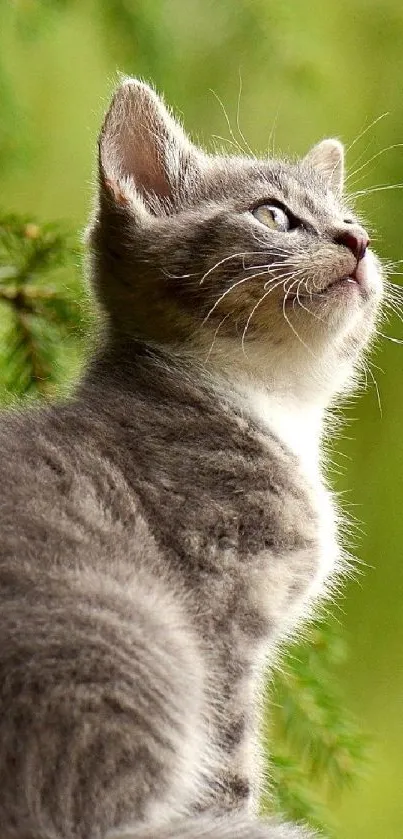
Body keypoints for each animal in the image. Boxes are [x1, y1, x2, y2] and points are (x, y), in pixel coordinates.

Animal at [0, 80, 382, 839]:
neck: (269, 403)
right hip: (136, 637)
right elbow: (229, 762)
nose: (357, 240)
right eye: (273, 214)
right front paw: (240, 815)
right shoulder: (220, 613)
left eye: (350, 219)